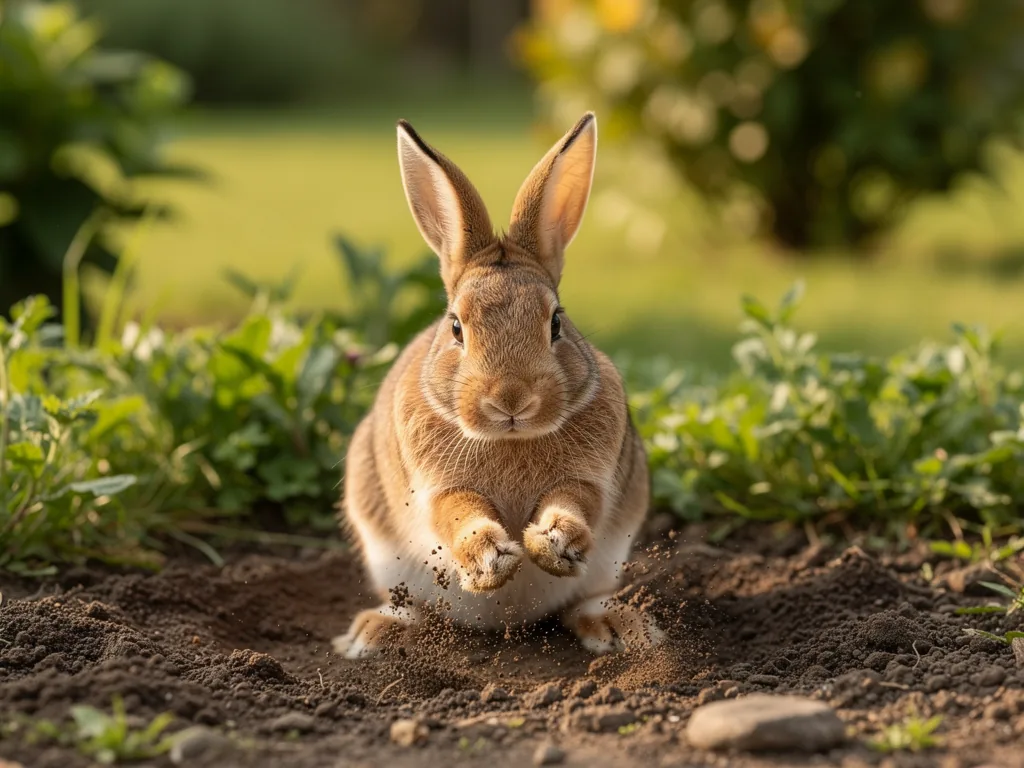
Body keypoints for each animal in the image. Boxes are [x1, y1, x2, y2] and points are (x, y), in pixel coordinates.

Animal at [334, 112, 661, 659]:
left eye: (556, 323)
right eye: (455, 327)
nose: (511, 398)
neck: (510, 437)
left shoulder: (594, 476)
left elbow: (577, 500)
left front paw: (552, 540)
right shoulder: (437, 487)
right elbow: (456, 511)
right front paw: (490, 556)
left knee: (580, 602)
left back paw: (620, 627)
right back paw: (374, 634)